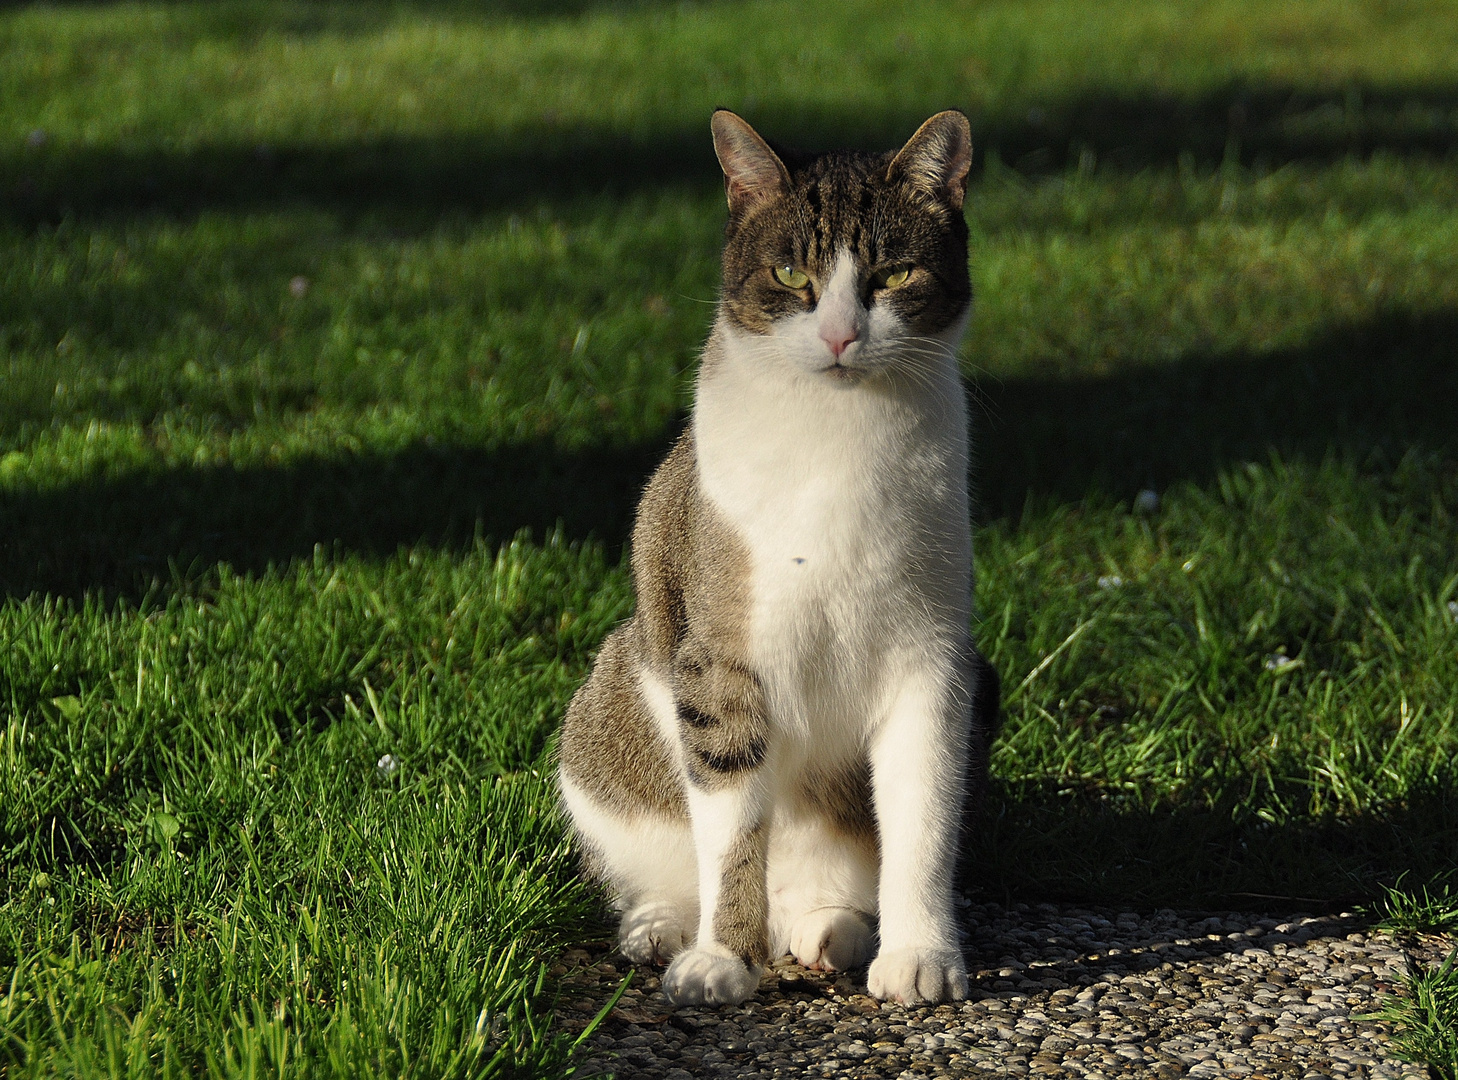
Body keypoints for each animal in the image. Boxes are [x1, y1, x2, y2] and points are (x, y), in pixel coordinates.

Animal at [556, 107, 1003, 1002]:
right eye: (792, 272)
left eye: (894, 275)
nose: (838, 335)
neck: (839, 436)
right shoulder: (722, 665)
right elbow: (731, 831)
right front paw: (722, 959)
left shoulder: (935, 662)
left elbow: (923, 819)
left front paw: (921, 954)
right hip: (606, 713)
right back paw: (666, 928)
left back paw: (829, 931)